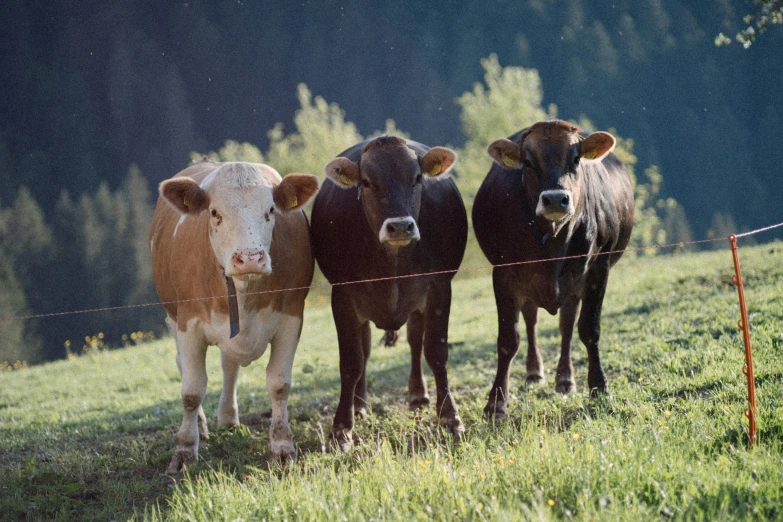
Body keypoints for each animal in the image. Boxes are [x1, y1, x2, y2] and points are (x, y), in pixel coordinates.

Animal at [149, 159, 316, 472]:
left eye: (270, 210)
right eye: (215, 213)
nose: (250, 258)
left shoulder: (291, 316)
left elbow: (279, 384)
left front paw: (282, 445)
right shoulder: (188, 324)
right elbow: (191, 391)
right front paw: (185, 450)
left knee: (229, 365)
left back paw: (228, 417)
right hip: (172, 317)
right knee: (184, 367)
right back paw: (201, 426)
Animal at [310, 136, 468, 448]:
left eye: (417, 178)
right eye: (367, 182)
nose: (400, 226)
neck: (393, 262)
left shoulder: (439, 287)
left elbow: (436, 351)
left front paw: (450, 418)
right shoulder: (343, 297)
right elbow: (351, 361)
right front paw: (341, 428)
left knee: (415, 341)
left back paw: (418, 395)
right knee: (365, 350)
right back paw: (359, 405)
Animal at [472, 119, 636, 414]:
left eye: (576, 159)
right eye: (527, 162)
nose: (556, 199)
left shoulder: (599, 269)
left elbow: (589, 329)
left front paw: (599, 386)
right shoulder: (504, 273)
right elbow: (508, 340)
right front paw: (496, 403)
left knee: (567, 324)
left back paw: (565, 379)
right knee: (531, 319)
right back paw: (534, 373)